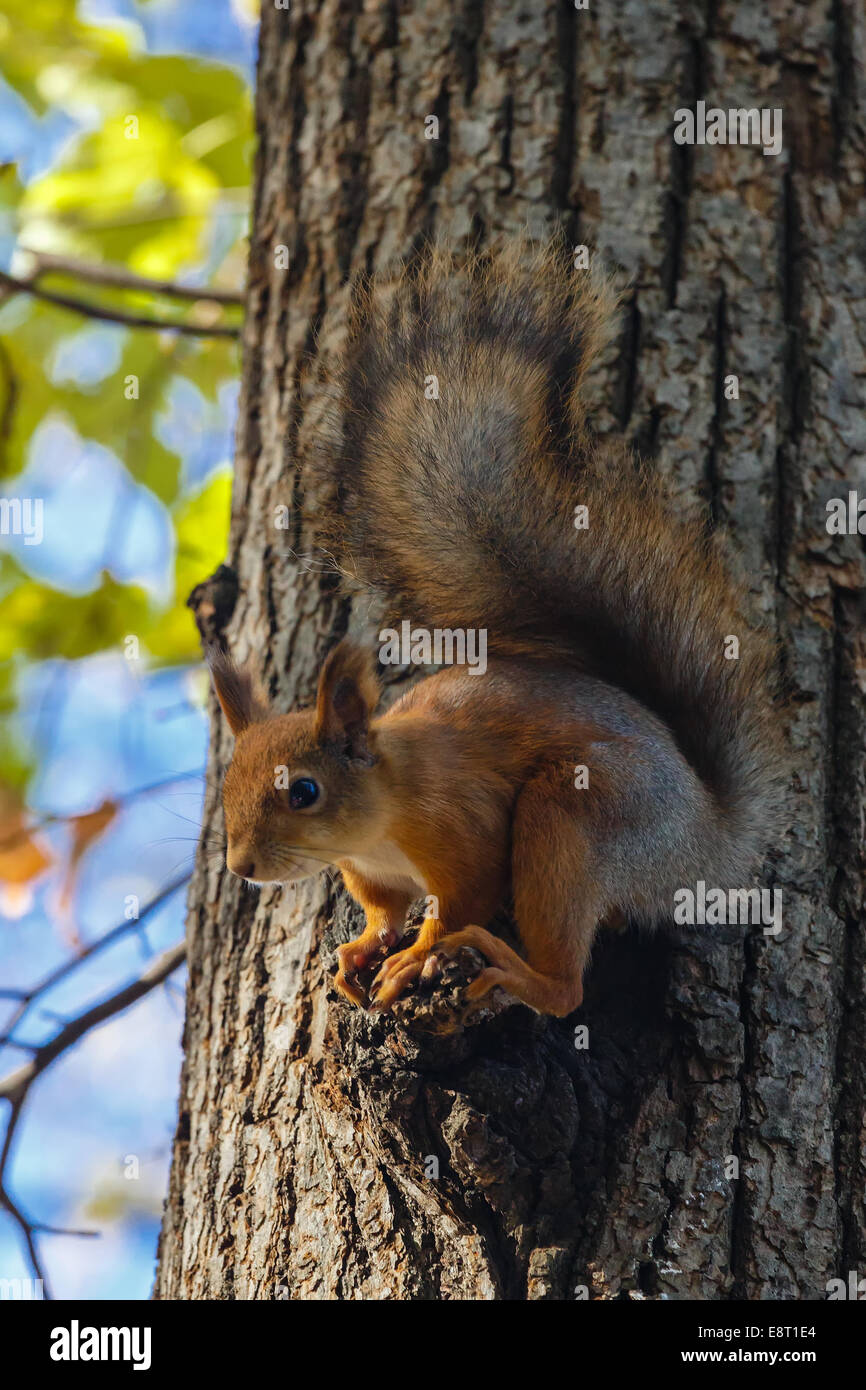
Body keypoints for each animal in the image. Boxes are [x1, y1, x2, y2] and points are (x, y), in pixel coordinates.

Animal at [209, 235, 786, 1018]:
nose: (242, 866)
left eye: (303, 791)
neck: (380, 813)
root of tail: (710, 839)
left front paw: (413, 957)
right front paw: (361, 949)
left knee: (568, 987)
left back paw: (517, 971)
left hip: (579, 817)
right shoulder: (372, 873)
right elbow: (384, 911)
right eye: (225, 788)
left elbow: (459, 901)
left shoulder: (465, 830)